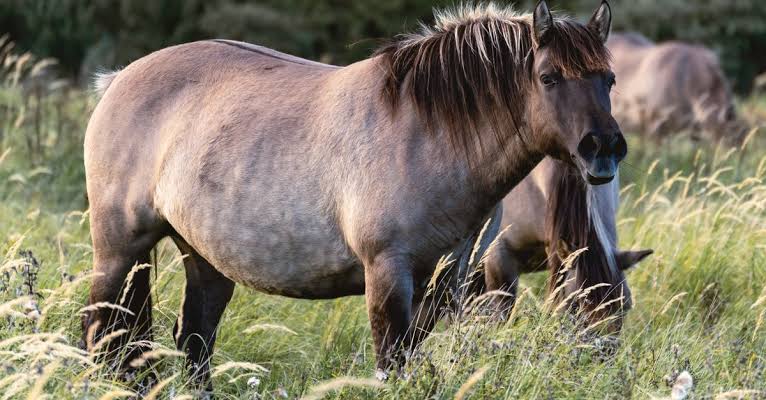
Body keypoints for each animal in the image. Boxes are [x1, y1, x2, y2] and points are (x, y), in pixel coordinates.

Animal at [82, 0, 622, 389]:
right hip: (119, 251)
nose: (604, 150)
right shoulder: (386, 272)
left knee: (193, 340)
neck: (427, 132)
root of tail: (117, 79)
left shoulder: (445, 279)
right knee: (101, 331)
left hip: (204, 257)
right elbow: (391, 364)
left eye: (609, 79)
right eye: (549, 77)